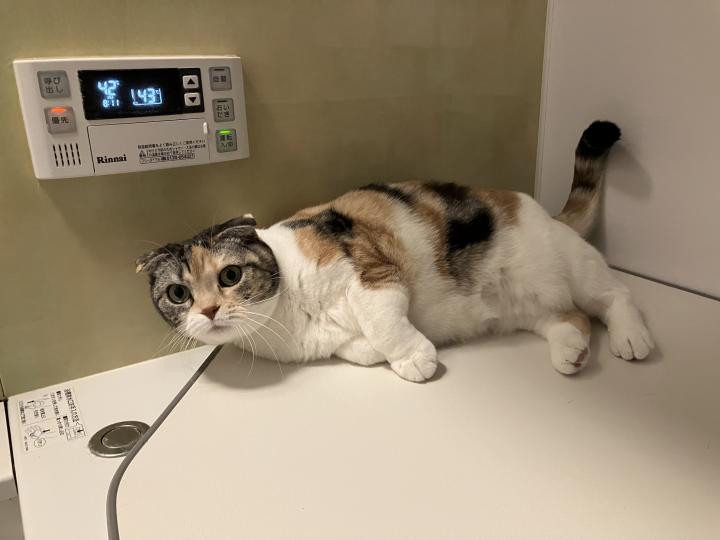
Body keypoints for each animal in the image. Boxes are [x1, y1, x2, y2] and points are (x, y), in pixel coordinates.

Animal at [136, 121, 653, 382]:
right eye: (179, 294)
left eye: (230, 276)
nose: (208, 310)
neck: (286, 320)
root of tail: (548, 214)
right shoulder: (334, 342)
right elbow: (363, 349)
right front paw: (390, 354)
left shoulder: (372, 271)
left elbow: (382, 323)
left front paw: (415, 359)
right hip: (530, 309)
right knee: (570, 318)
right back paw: (572, 352)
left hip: (576, 267)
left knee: (615, 296)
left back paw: (633, 339)